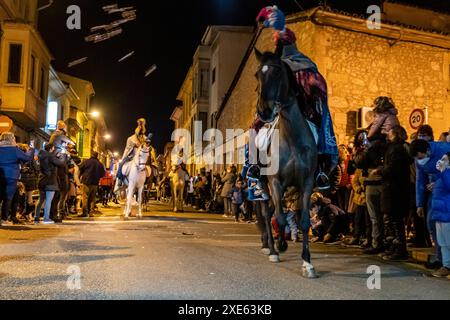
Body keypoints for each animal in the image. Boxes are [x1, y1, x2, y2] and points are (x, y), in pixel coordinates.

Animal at [255, 48, 318, 278]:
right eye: (257, 75)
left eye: (277, 72)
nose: (264, 111)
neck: (291, 138)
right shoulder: (275, 182)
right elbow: (280, 218)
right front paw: (281, 245)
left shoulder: (306, 183)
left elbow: (304, 220)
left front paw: (307, 262)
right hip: (265, 186)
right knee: (268, 214)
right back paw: (271, 248)